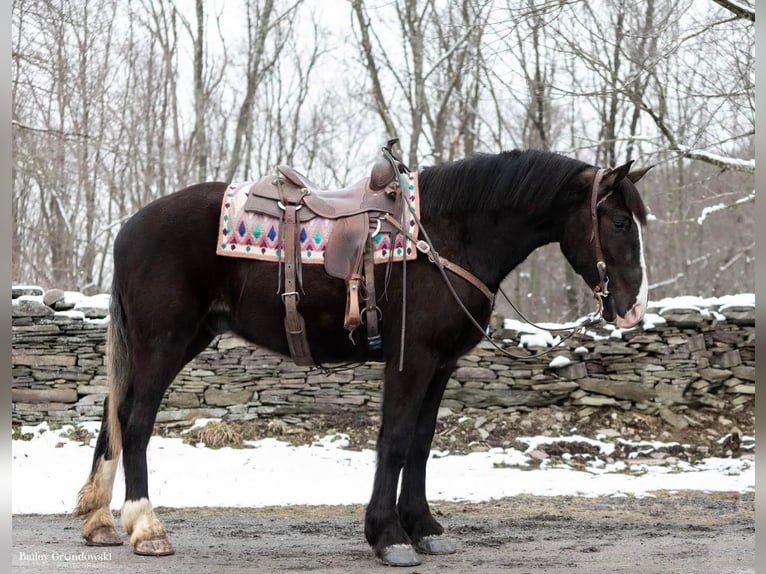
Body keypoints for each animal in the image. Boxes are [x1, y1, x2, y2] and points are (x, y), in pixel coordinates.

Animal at [75, 147, 652, 568]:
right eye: (620, 223)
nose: (632, 310)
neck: (445, 238)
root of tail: (129, 229)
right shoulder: (411, 358)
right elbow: (394, 441)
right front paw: (388, 536)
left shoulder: (441, 364)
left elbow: (421, 443)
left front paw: (424, 528)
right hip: (163, 343)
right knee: (136, 423)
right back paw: (146, 529)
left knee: (113, 419)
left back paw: (99, 522)